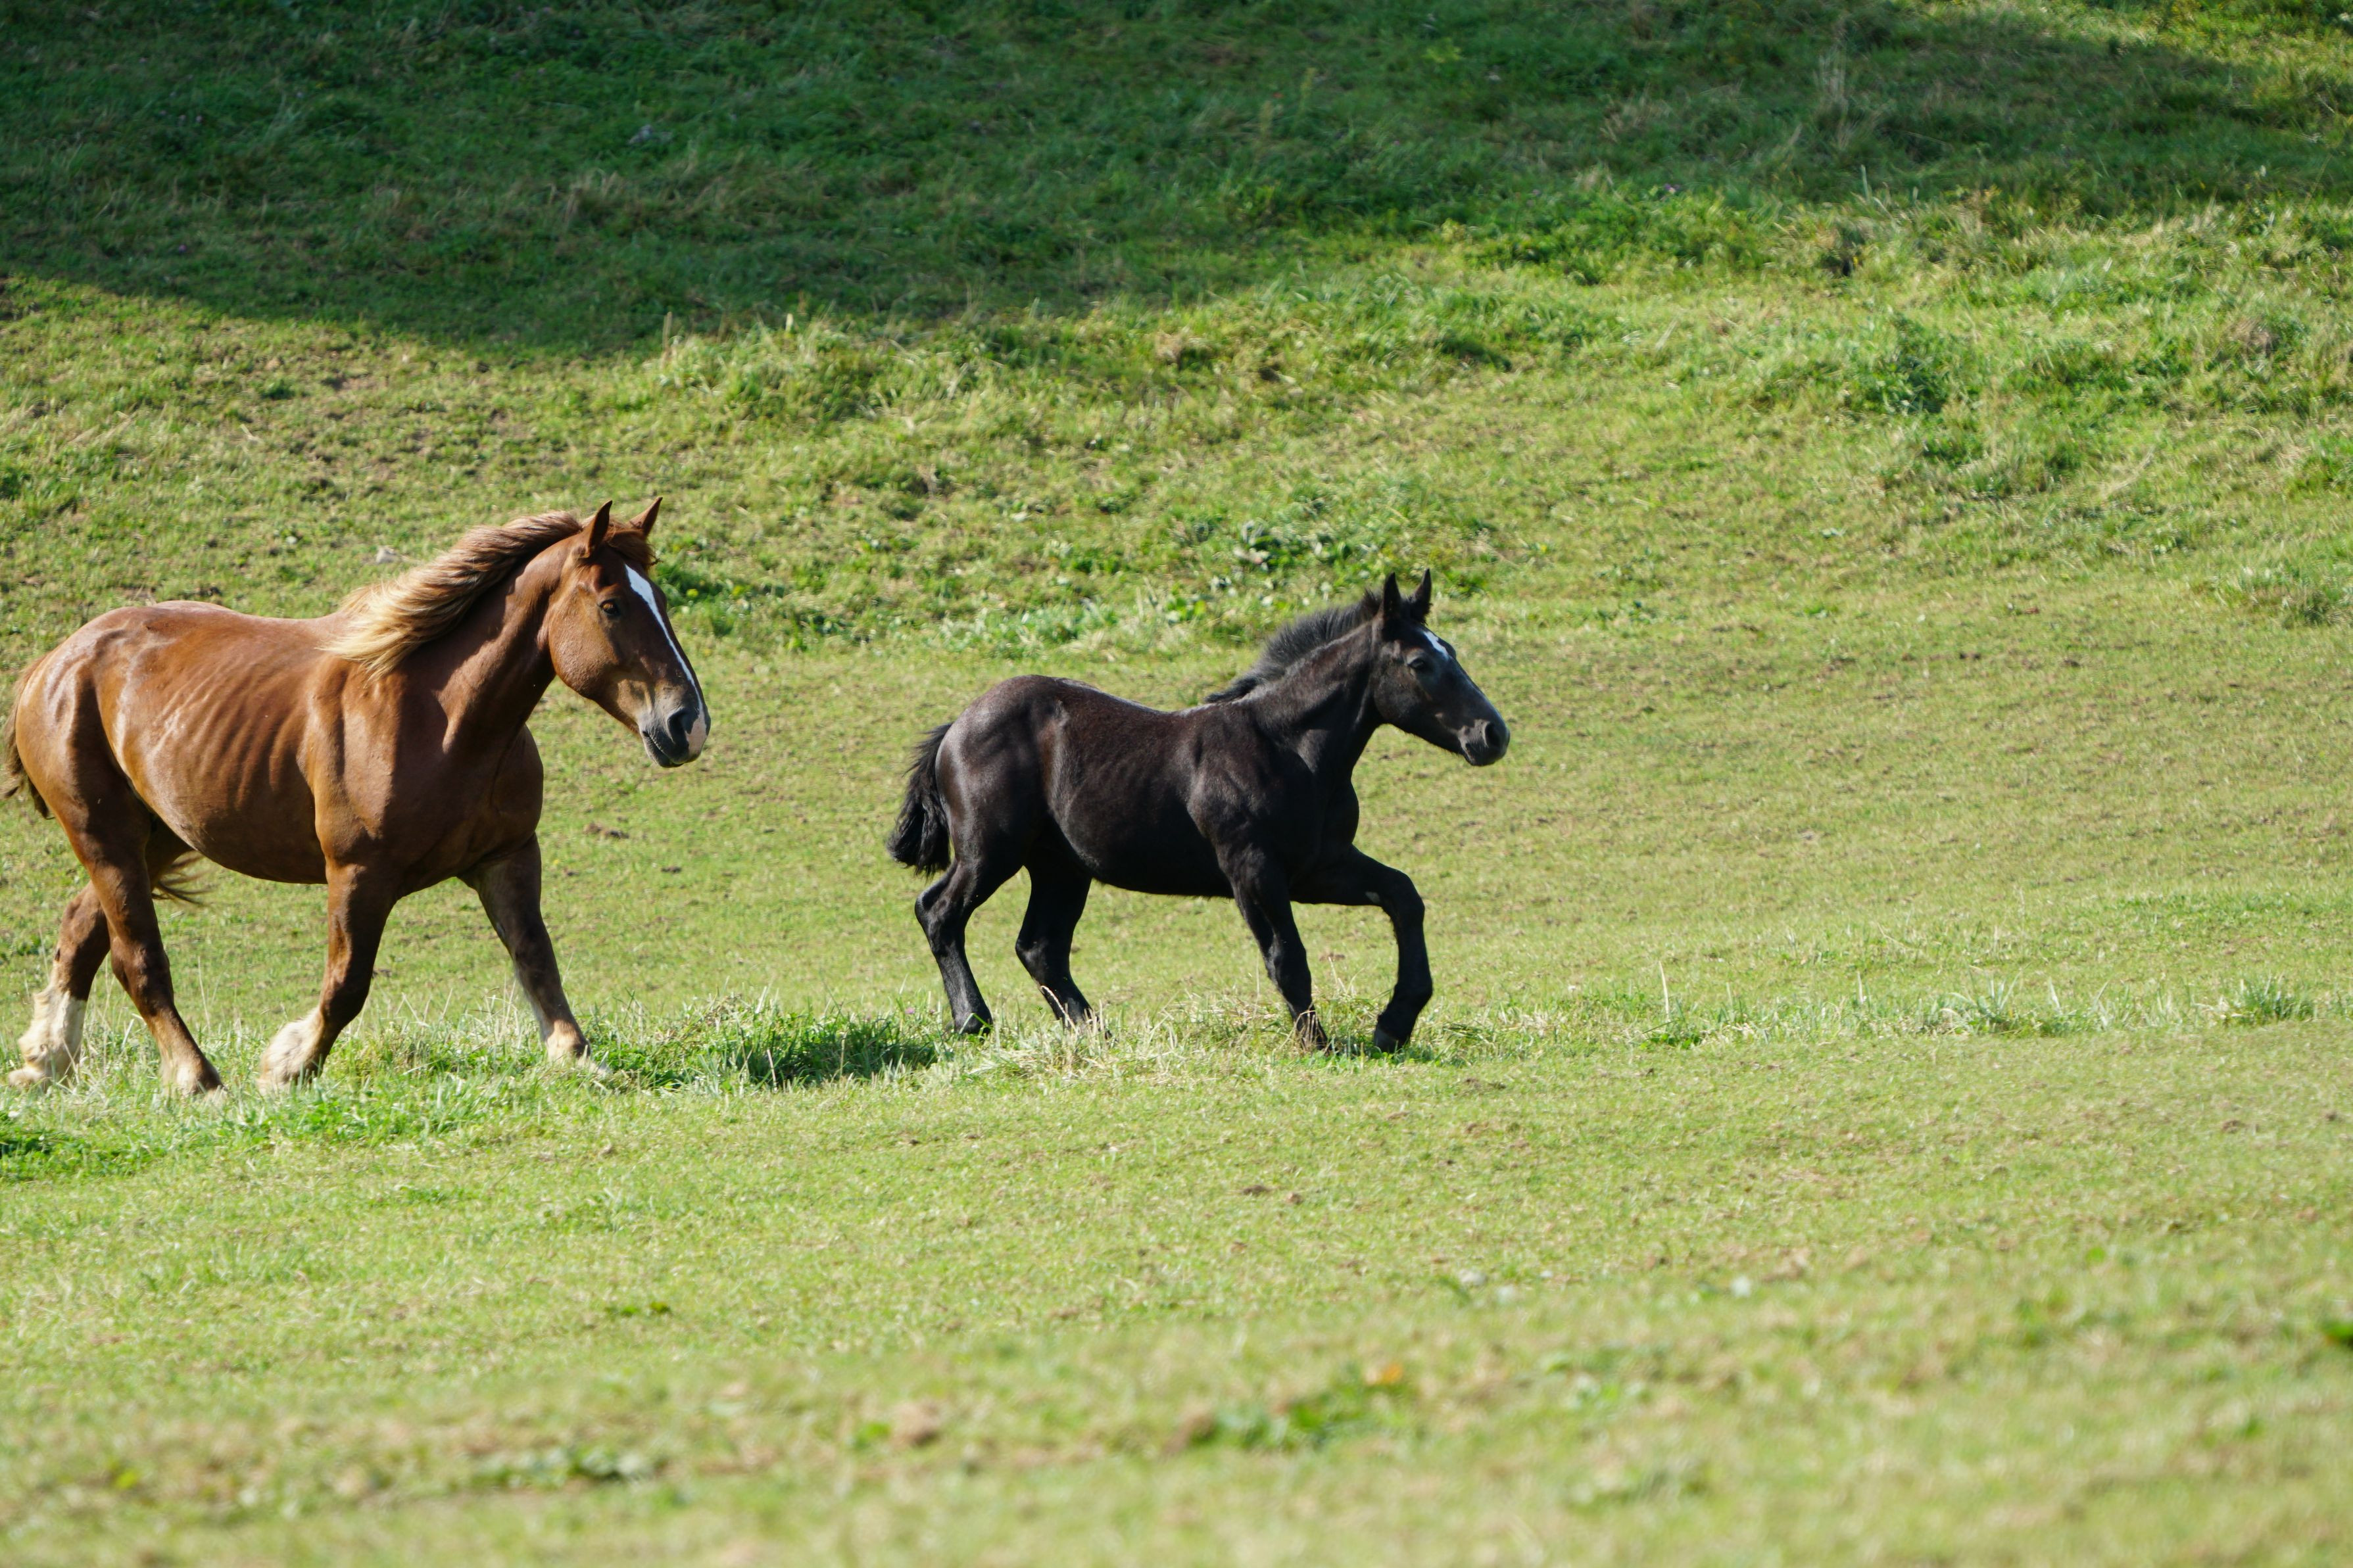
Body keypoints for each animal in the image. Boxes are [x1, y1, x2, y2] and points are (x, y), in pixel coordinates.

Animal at [1, 500, 708, 1095]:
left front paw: (576, 1057)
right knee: (137, 958)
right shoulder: (360, 872)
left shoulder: (507, 856)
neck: (442, 718)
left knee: (81, 928)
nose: (687, 723)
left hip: (157, 836)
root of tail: (55, 663)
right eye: (612, 605)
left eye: (661, 599)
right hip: (107, 836)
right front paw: (287, 1065)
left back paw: (45, 1061)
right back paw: (195, 1078)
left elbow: (536, 957)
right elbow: (347, 984)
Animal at [887, 571, 1508, 1050]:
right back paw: (973, 1021)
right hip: (990, 851)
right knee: (939, 911)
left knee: (1040, 946)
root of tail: (956, 727)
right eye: (1420, 662)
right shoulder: (1251, 866)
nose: (1491, 734)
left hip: (1061, 867)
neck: (1285, 748)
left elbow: (1404, 895)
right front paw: (1319, 1044)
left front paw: (1393, 1026)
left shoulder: (1318, 865)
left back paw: (1096, 1034)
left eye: (1452, 651)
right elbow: (1287, 954)